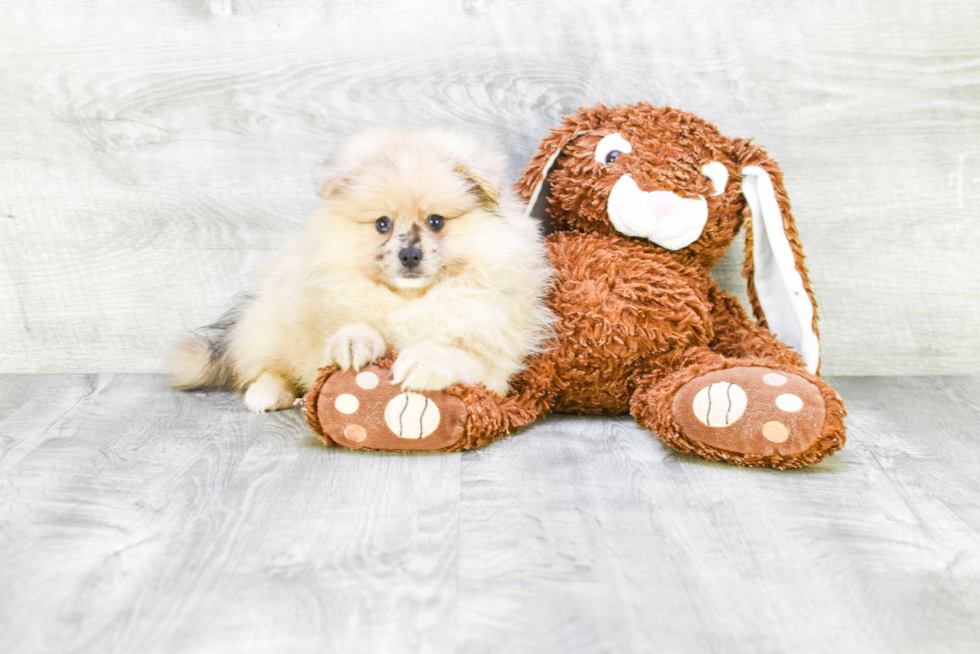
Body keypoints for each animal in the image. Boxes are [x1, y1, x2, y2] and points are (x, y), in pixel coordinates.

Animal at [170, 129, 552, 416]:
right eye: (382, 224)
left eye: (436, 222)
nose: (409, 254)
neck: (410, 299)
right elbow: (354, 323)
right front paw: (354, 342)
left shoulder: (495, 358)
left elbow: (460, 355)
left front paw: (422, 361)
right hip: (275, 324)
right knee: (268, 368)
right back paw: (266, 394)